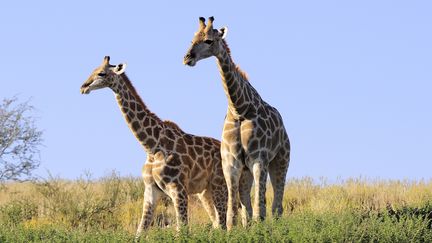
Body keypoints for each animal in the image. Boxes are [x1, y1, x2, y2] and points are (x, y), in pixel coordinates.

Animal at [81, 56, 230, 236]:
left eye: (101, 73)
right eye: (92, 70)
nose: (83, 87)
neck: (151, 146)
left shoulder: (178, 189)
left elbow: (182, 229)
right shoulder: (151, 190)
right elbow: (140, 231)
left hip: (219, 185)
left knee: (223, 224)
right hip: (205, 191)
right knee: (217, 223)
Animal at [182, 17, 290, 230]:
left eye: (208, 40)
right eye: (192, 39)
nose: (187, 58)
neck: (239, 108)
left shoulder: (259, 159)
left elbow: (259, 208)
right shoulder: (231, 163)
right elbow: (232, 211)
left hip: (281, 160)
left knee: (276, 205)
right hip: (246, 171)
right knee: (248, 206)